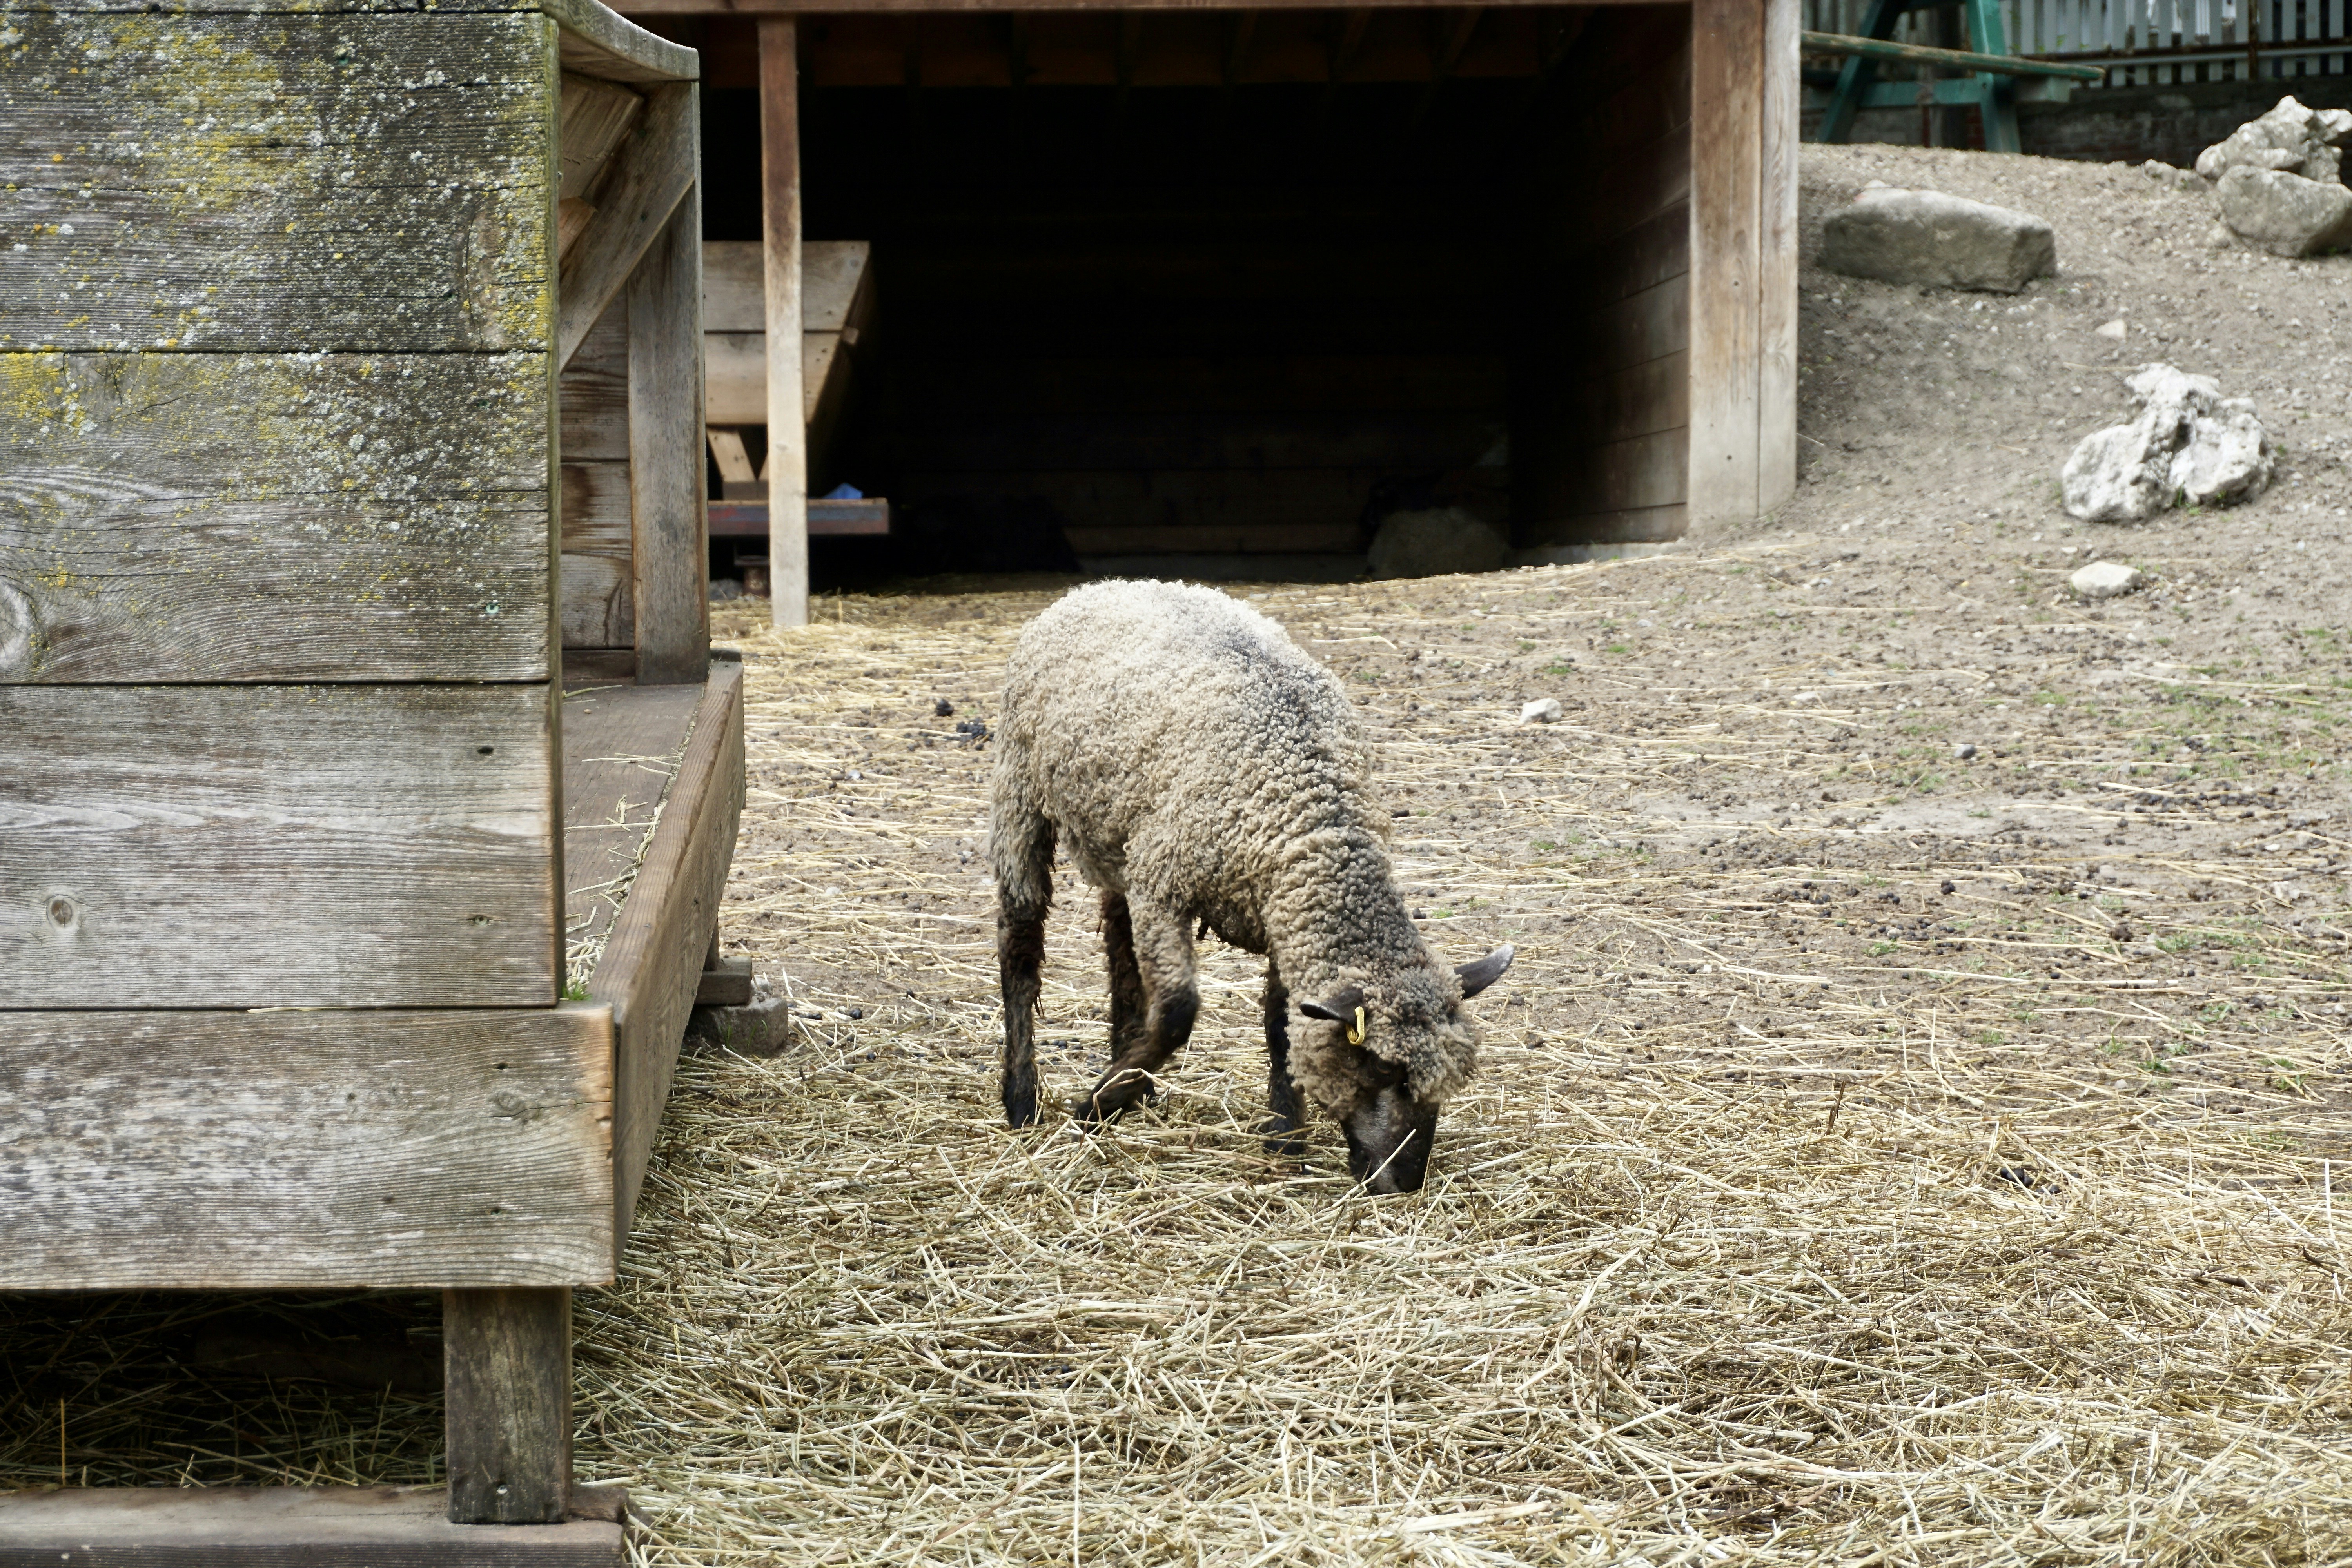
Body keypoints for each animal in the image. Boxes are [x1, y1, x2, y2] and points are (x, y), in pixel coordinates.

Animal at [989, 579, 1514, 1194]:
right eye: (1383, 1066)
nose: (1407, 1183)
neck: (1311, 814)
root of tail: (1104, 586)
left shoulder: (1282, 910)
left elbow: (1280, 1028)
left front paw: (1285, 1140)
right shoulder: (1165, 885)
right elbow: (1177, 1011)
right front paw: (1093, 1105)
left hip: (1118, 836)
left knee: (1119, 947)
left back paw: (1132, 1078)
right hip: (1022, 792)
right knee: (1021, 947)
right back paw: (1024, 1100)